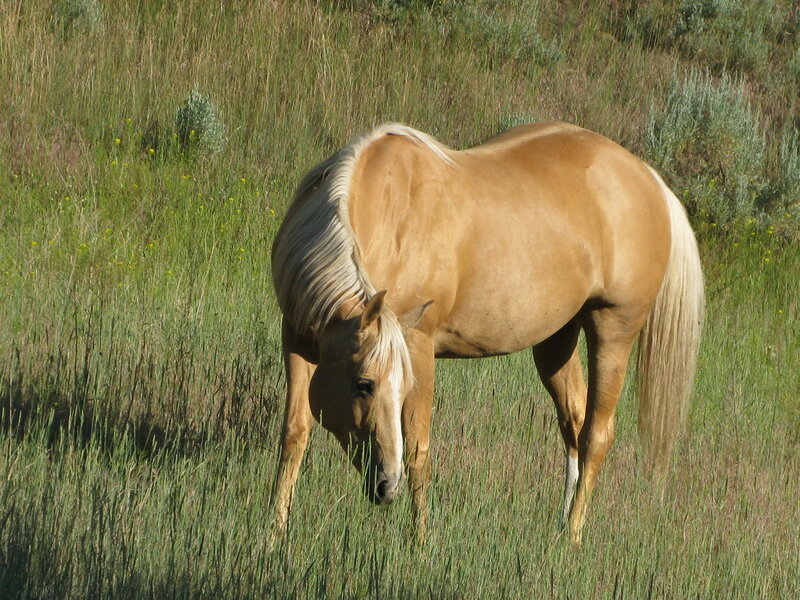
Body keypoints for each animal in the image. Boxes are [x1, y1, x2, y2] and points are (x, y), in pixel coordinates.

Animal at [270, 121, 704, 545]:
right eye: (363, 384)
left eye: (402, 384)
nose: (386, 486)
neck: (389, 215)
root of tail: (649, 179)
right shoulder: (299, 340)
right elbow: (294, 433)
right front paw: (274, 535)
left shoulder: (418, 345)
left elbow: (418, 448)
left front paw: (419, 545)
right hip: (556, 340)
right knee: (575, 423)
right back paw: (559, 528)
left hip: (613, 329)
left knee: (597, 435)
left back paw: (573, 538)